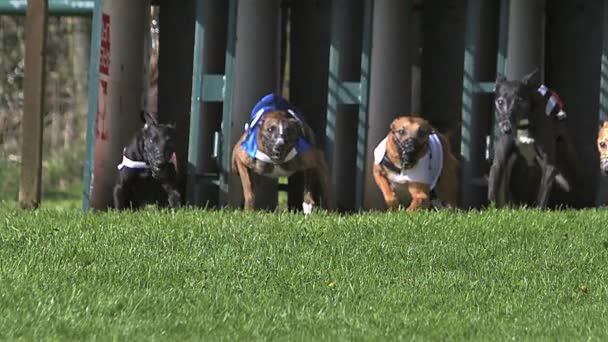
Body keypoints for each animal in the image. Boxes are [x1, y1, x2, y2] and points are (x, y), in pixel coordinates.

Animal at [486, 69, 576, 207]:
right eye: (500, 102)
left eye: (519, 100)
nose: (506, 128)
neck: (523, 126)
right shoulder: (499, 163)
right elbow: (493, 188)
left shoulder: (549, 167)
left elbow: (541, 199)